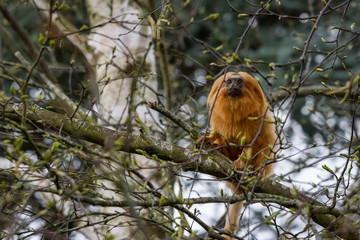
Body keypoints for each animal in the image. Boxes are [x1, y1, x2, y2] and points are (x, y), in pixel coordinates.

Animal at [197, 71, 278, 240]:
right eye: (229, 81)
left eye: (239, 82)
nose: (234, 85)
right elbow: (219, 132)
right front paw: (209, 138)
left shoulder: (258, 117)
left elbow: (255, 142)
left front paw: (241, 163)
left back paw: (255, 172)